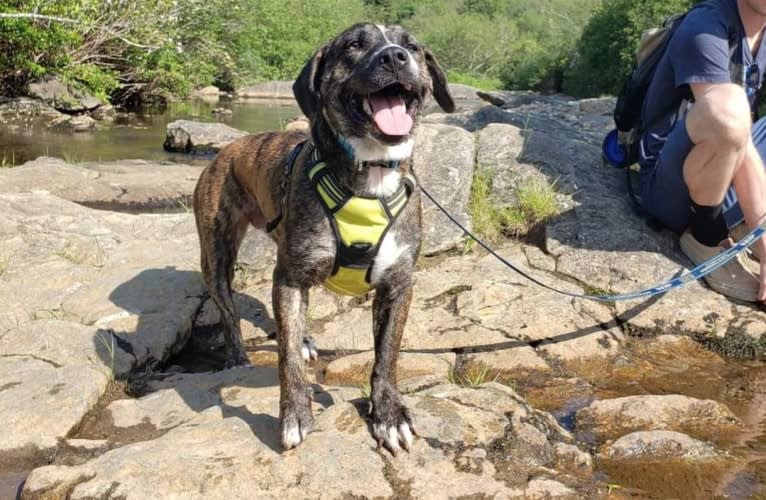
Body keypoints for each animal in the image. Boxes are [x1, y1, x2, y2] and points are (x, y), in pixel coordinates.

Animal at [194, 22, 456, 454]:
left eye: (412, 46)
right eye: (354, 44)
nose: (394, 56)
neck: (371, 174)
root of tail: (226, 149)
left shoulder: (397, 286)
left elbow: (387, 354)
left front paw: (388, 414)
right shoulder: (289, 277)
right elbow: (286, 360)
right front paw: (295, 413)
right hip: (217, 256)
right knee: (230, 312)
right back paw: (237, 357)